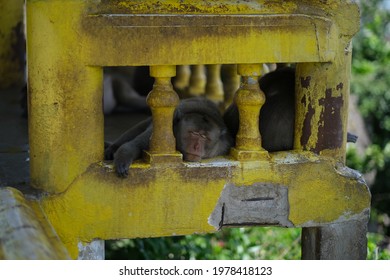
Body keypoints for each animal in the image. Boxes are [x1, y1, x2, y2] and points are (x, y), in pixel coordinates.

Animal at [103, 97, 233, 176]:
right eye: (194, 133)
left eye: (204, 137)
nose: (196, 147)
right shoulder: (163, 132)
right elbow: (136, 145)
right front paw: (123, 158)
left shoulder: (224, 145)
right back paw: (112, 148)